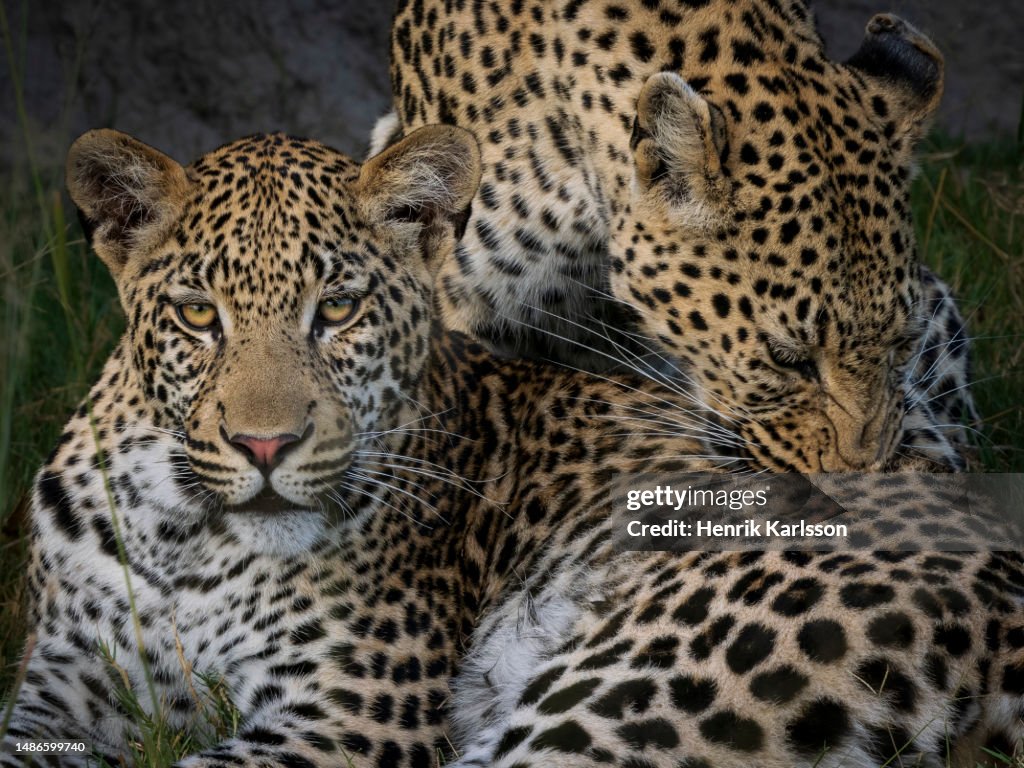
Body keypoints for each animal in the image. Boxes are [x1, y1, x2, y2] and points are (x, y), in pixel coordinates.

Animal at [3, 128, 1023, 768]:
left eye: (338, 310)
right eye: (197, 316)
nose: (263, 444)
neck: (190, 536)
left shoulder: (349, 712)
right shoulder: (57, 683)